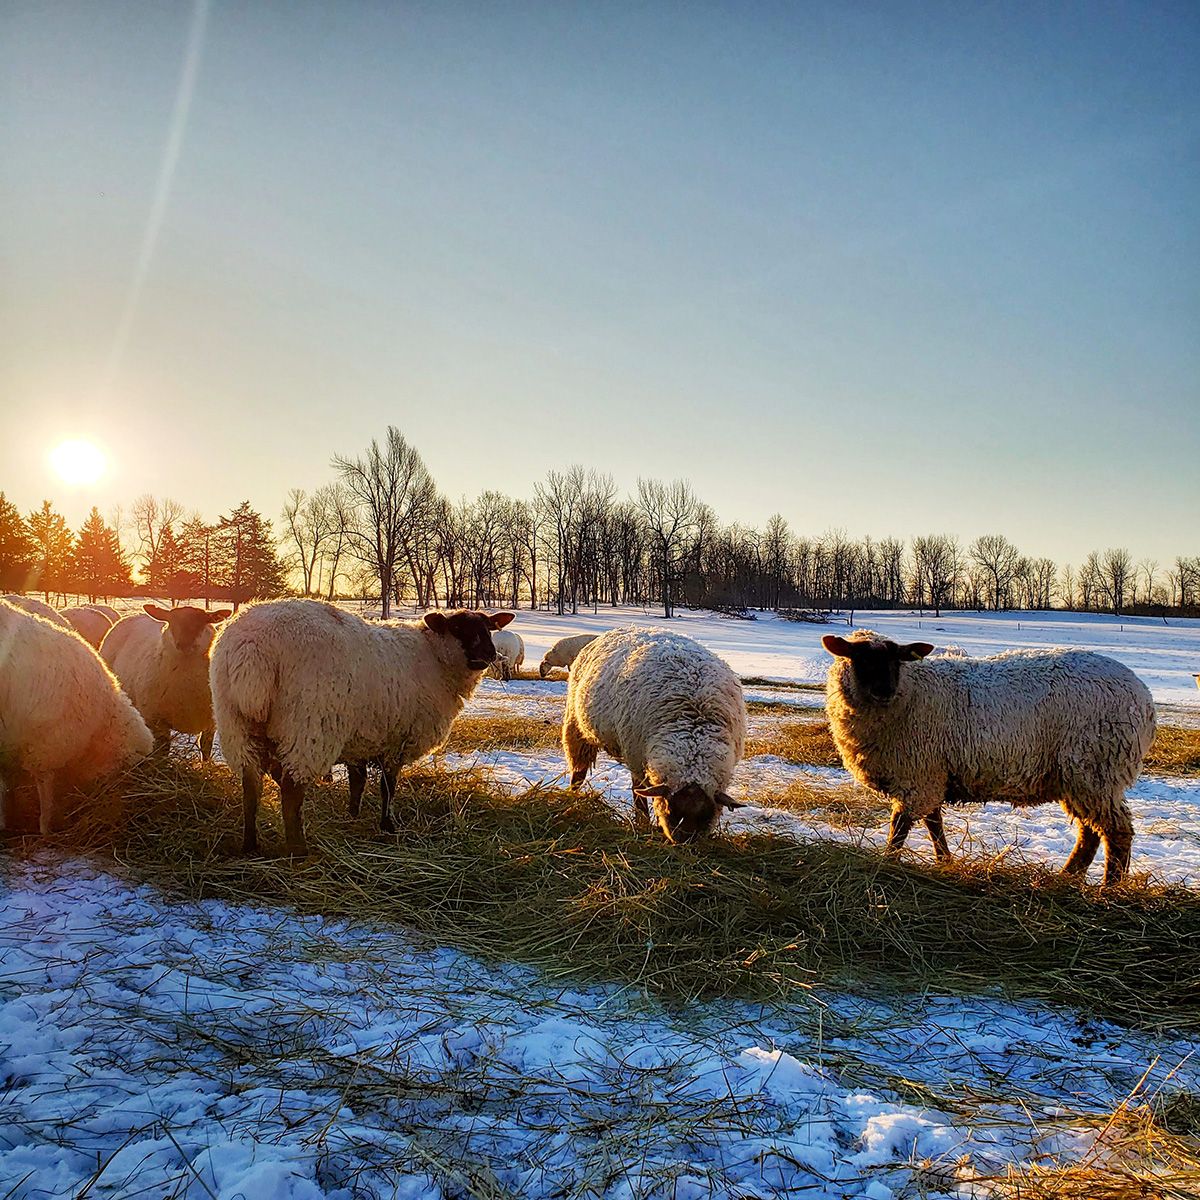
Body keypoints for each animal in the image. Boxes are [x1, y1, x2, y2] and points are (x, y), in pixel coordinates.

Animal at [210, 600, 516, 854]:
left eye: (488, 627)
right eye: (457, 627)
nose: (489, 654)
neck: (435, 658)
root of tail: (252, 648)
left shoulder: (359, 737)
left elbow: (358, 780)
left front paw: (353, 814)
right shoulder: (397, 739)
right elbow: (387, 786)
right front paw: (388, 824)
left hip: (236, 725)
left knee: (250, 786)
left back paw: (250, 845)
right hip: (308, 726)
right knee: (290, 792)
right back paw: (299, 851)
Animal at [820, 633, 1156, 888]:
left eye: (896, 659)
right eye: (861, 659)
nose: (885, 691)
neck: (908, 692)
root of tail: (1145, 698)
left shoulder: (919, 775)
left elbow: (900, 827)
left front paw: (888, 861)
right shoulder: (932, 773)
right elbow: (934, 823)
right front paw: (945, 861)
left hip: (1095, 768)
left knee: (1117, 832)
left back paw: (1108, 888)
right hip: (1077, 777)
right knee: (1090, 833)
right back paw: (1067, 877)